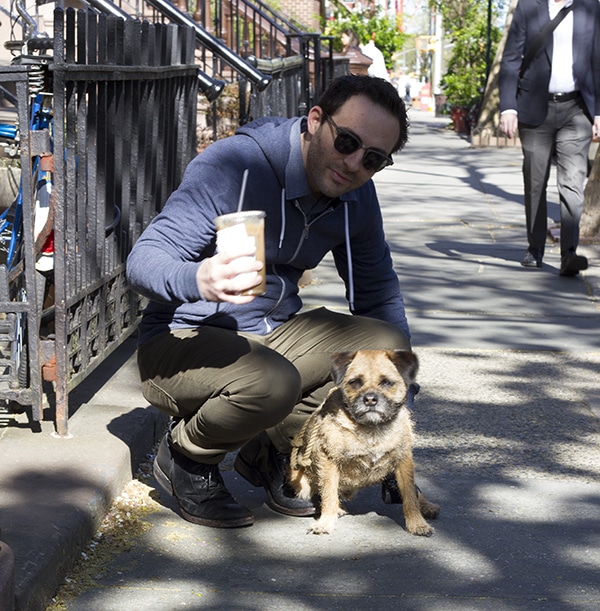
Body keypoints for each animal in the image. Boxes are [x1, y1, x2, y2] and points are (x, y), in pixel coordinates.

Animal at [288, 350, 438, 536]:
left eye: (386, 382)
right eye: (355, 382)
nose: (370, 399)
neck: (371, 429)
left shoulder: (404, 459)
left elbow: (410, 494)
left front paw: (417, 523)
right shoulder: (329, 460)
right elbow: (329, 493)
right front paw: (325, 523)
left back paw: (427, 506)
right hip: (298, 478)